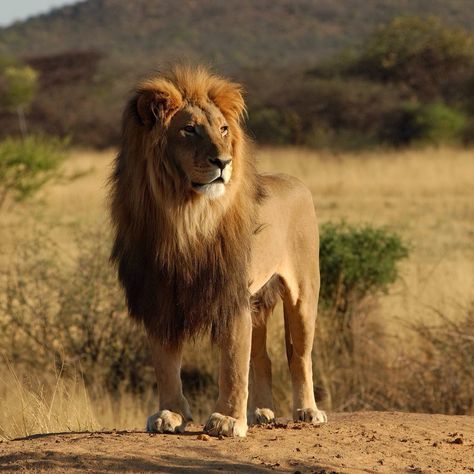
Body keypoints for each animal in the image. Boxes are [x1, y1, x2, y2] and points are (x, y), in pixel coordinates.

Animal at [109, 64, 328, 436]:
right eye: (189, 130)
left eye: (223, 129)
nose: (223, 161)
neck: (185, 216)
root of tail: (295, 181)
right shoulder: (159, 295)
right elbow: (166, 363)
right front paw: (170, 414)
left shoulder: (230, 294)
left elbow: (232, 363)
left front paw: (227, 420)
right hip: (258, 301)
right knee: (263, 357)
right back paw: (261, 412)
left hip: (303, 292)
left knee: (299, 355)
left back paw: (307, 411)